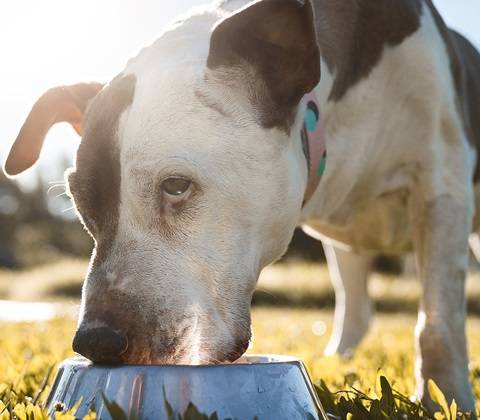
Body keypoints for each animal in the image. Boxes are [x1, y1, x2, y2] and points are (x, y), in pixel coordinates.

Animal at [3, 0, 480, 414]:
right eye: (80, 200)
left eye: (176, 185)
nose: (96, 342)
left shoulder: (442, 190)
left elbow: (437, 326)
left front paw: (444, 399)